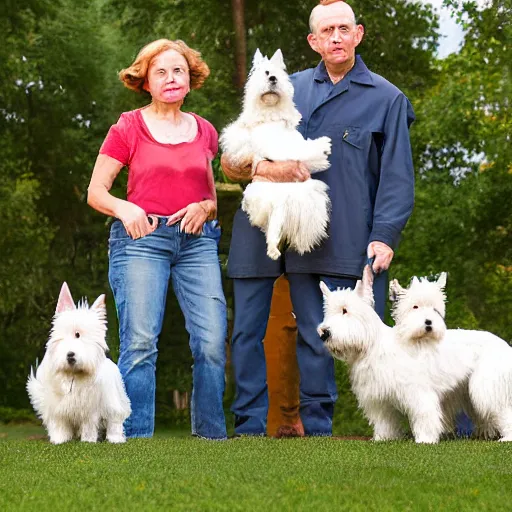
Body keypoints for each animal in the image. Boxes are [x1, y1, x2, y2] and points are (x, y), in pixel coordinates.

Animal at [26, 284, 131, 444]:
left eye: (78, 335)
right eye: (73, 334)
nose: (70, 355)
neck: (72, 375)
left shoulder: (90, 410)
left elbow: (89, 426)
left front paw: (88, 441)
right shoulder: (56, 408)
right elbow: (59, 426)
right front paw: (59, 441)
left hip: (114, 402)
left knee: (115, 422)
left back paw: (115, 439)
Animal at [220, 49, 332, 260]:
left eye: (278, 75)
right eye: (266, 73)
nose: (273, 79)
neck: (271, 113)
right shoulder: (276, 145)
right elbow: (299, 150)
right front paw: (323, 146)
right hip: (275, 203)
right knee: (272, 230)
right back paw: (273, 251)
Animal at [318, 268, 474, 444]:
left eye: (345, 310)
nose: (324, 333)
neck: (374, 346)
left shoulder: (417, 392)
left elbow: (424, 415)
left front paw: (425, 439)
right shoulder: (380, 399)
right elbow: (384, 421)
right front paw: (382, 438)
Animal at [390, 274, 512, 442]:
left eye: (435, 309)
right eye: (415, 307)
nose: (429, 322)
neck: (416, 342)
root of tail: (506, 347)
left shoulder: (420, 391)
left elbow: (424, 414)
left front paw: (424, 439)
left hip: (486, 388)